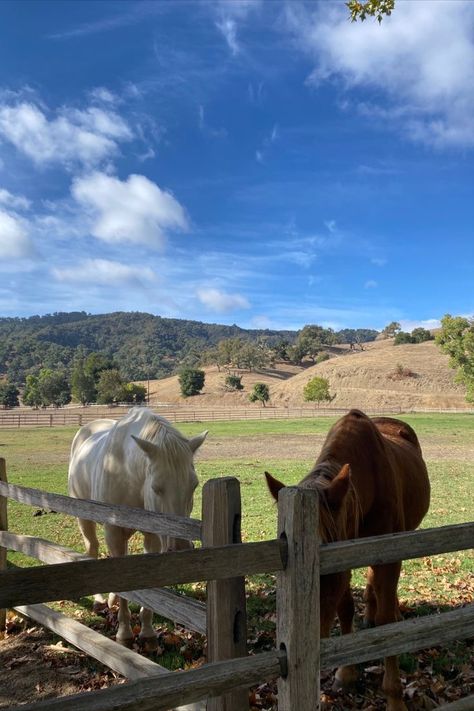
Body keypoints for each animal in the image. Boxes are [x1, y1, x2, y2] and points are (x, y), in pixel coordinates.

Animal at [68, 408, 207, 648]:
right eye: (156, 488)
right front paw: (124, 634)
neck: (126, 472)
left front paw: (148, 633)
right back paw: (99, 601)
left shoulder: (152, 535)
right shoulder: (113, 532)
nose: (180, 550)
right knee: (92, 549)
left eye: (194, 485)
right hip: (84, 518)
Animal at [264, 408, 432, 708]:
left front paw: (394, 698)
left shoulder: (386, 556)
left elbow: (386, 623)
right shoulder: (344, 552)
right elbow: (345, 608)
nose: (306, 647)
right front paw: (346, 672)